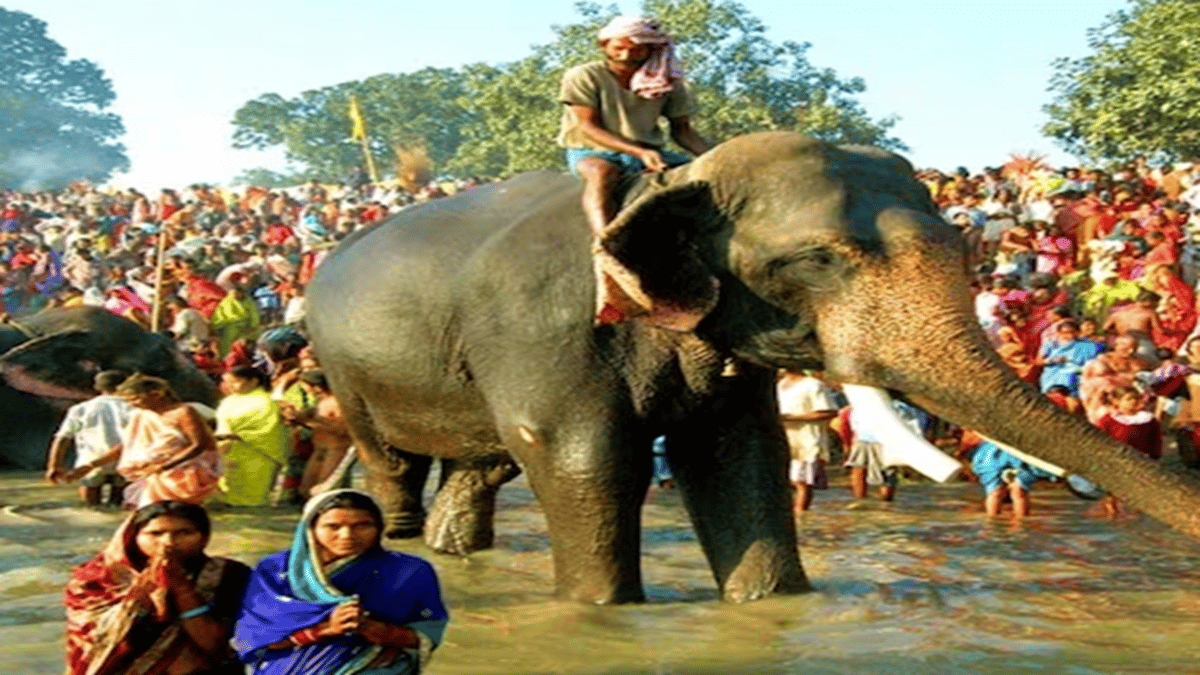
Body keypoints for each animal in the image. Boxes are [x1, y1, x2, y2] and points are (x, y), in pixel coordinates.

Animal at [307, 128, 1200, 600]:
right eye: (815, 260)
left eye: (959, 246)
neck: (672, 182)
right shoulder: (546, 329)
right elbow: (585, 461)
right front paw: (596, 611)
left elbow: (742, 460)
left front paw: (770, 603)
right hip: (344, 364)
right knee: (393, 465)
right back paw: (393, 549)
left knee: (481, 463)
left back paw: (456, 550)